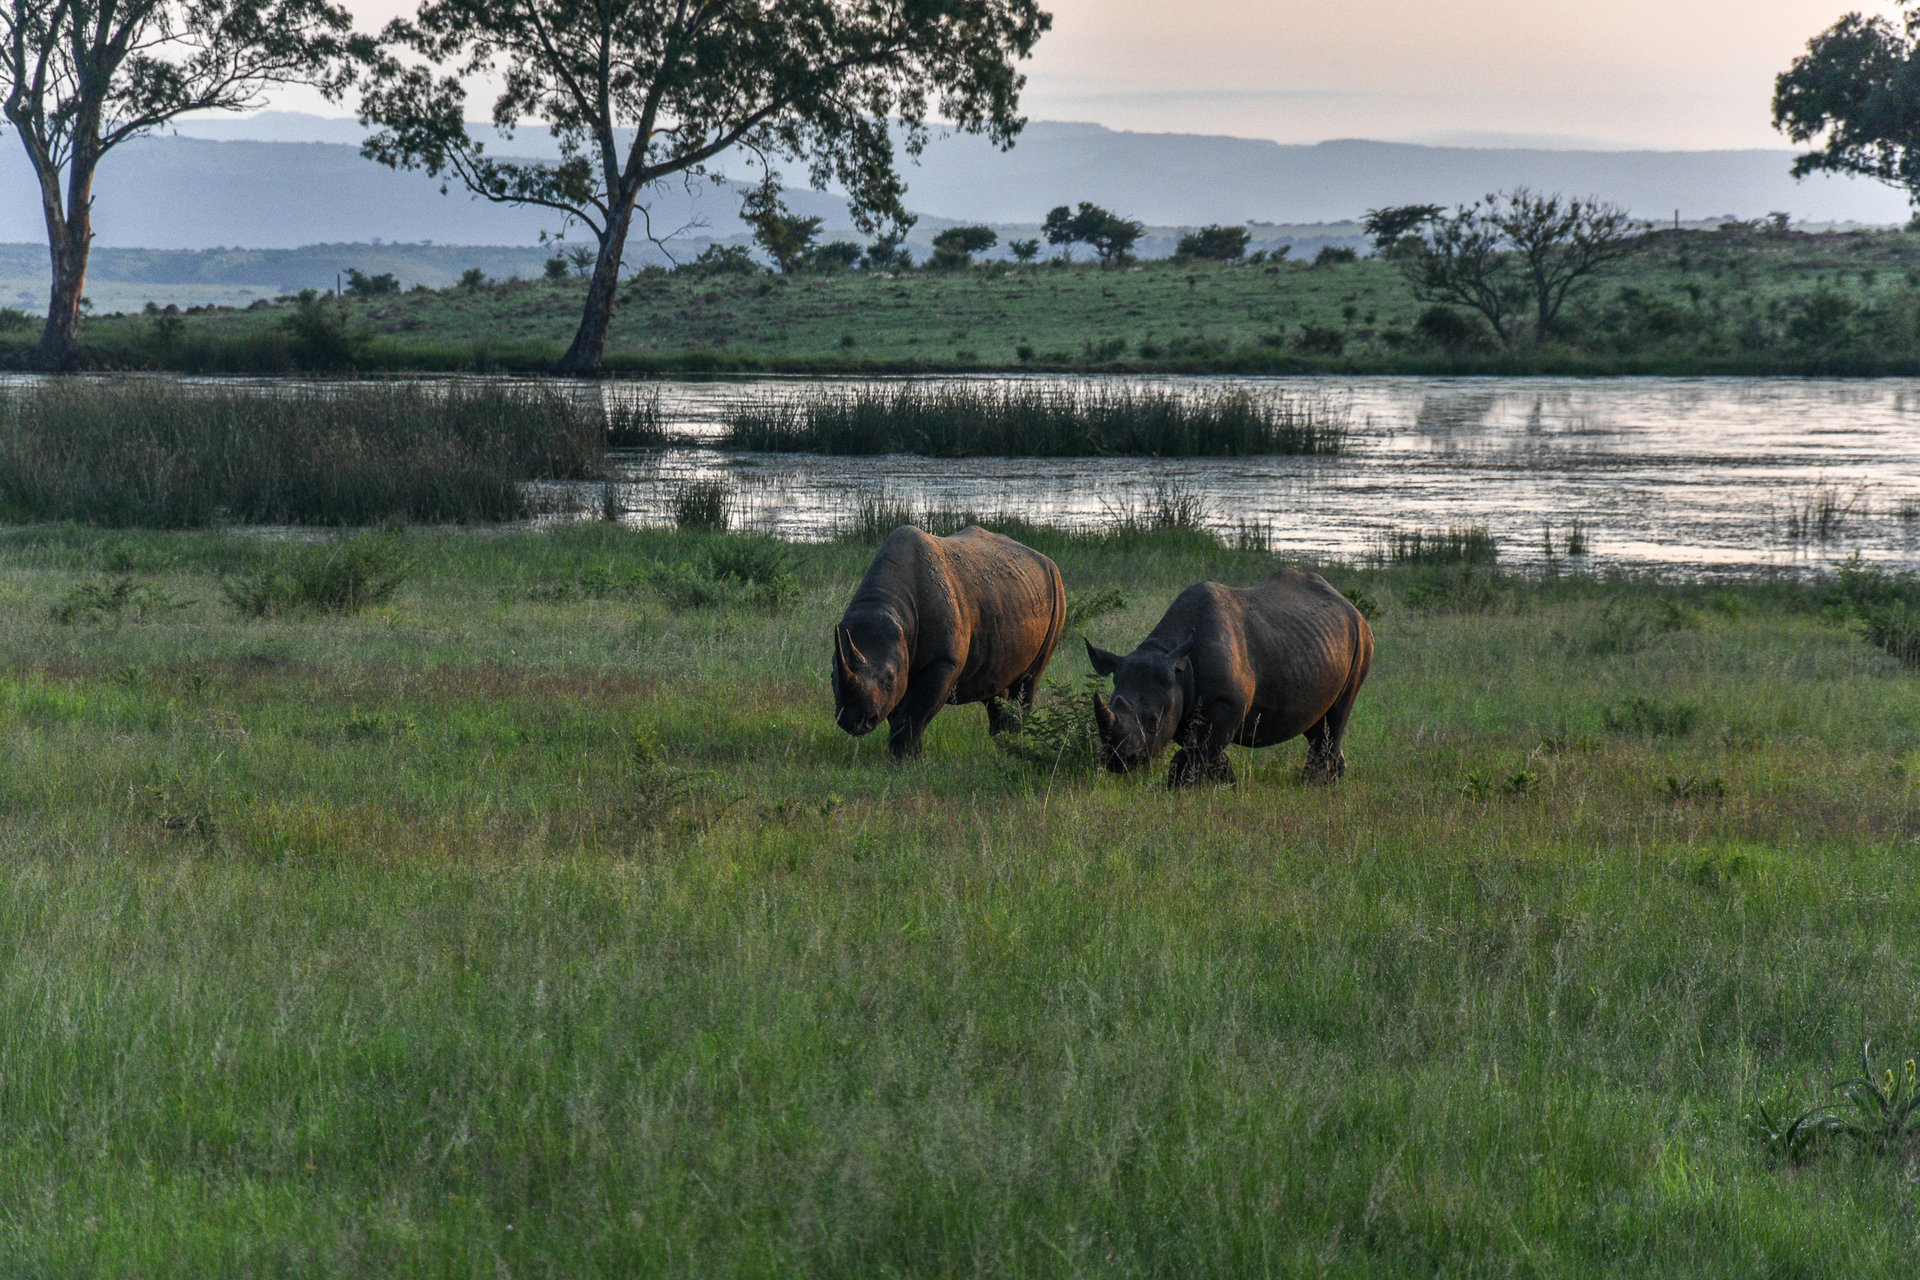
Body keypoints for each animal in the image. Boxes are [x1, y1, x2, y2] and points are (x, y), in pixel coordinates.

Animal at [833, 521, 1067, 756]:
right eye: (832, 675)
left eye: (889, 678)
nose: (854, 722)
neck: (894, 611)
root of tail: (1047, 561)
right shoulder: (902, 656)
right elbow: (901, 711)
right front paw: (911, 754)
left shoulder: (943, 660)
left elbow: (914, 713)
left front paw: (905, 758)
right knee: (996, 682)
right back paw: (1001, 742)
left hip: (1057, 588)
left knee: (1030, 678)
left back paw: (1016, 743)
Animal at [1090, 571, 1374, 790]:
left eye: (1153, 721)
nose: (1117, 760)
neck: (1178, 664)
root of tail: (1350, 606)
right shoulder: (1185, 706)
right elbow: (1209, 756)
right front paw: (1230, 788)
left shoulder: (1227, 703)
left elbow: (1195, 755)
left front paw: (1180, 792)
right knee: (1317, 723)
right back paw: (1330, 782)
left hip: (1362, 639)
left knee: (1336, 717)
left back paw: (1312, 787)